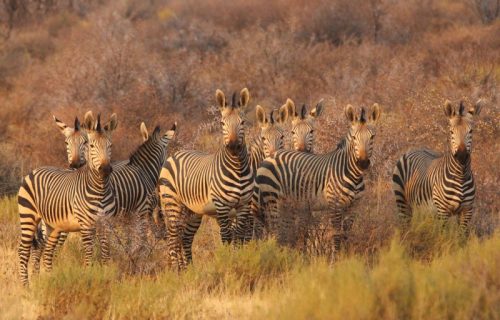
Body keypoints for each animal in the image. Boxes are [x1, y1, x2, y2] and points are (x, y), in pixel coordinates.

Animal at [17, 112, 117, 284]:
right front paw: (88, 278)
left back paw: (49, 280)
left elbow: (105, 254)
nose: (105, 169)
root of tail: (35, 170)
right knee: (24, 250)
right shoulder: (86, 225)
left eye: (110, 145)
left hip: (52, 226)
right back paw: (26, 286)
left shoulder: (106, 224)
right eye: (91, 146)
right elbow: (89, 255)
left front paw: (106, 278)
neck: (100, 189)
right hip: (28, 217)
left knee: (47, 251)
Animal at [159, 88, 254, 270]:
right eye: (222, 124)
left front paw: (238, 260)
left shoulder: (244, 205)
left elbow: (238, 237)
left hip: (192, 210)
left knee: (185, 238)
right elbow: (226, 237)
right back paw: (176, 271)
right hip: (172, 203)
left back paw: (188, 269)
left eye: (243, 122)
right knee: (173, 238)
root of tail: (175, 154)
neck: (237, 168)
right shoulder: (222, 206)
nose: (233, 146)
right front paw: (227, 263)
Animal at [252, 104, 380, 254]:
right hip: (272, 200)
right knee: (275, 229)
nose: (363, 163)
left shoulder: (353, 207)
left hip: (286, 204)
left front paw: (345, 256)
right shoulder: (335, 206)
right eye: (354, 138)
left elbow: (346, 235)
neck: (353, 175)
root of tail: (270, 156)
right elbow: (336, 236)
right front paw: (335, 258)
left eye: (372, 137)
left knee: (284, 230)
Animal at [392, 99, 482, 236]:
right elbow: (443, 236)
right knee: (405, 226)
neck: (460, 175)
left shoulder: (467, 210)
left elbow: (461, 238)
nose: (461, 156)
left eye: (471, 131)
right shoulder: (443, 211)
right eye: (451, 132)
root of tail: (417, 148)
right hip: (402, 201)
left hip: (424, 208)